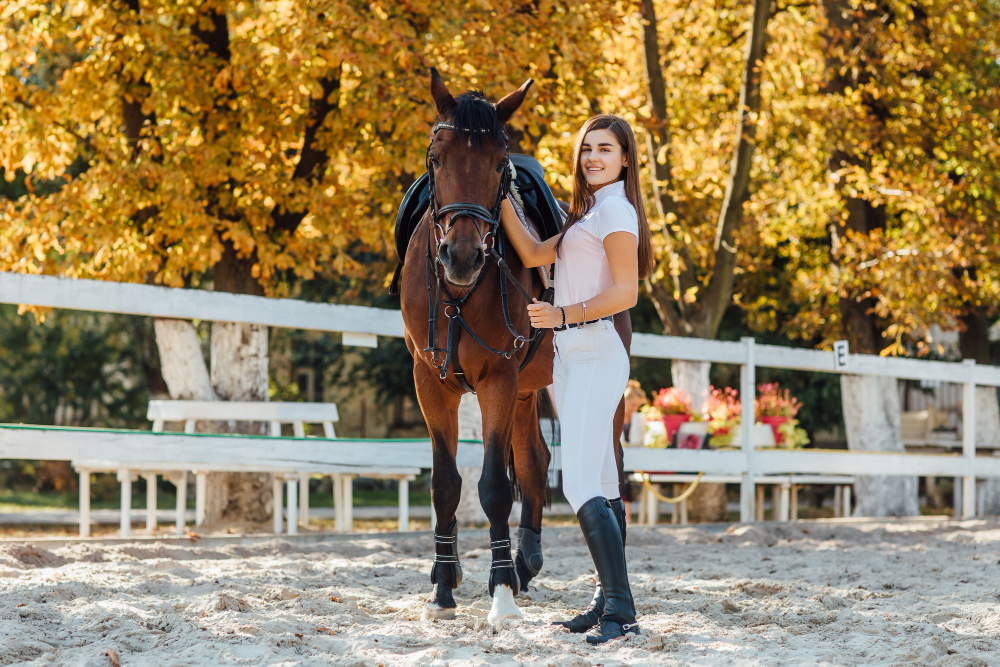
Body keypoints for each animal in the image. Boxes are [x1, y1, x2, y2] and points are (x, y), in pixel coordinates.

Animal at [399, 69, 633, 623]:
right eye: (435, 157)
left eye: (499, 164)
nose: (461, 256)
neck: (457, 296)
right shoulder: (430, 381)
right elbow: (446, 484)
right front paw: (443, 587)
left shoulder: (496, 380)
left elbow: (492, 486)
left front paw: (501, 592)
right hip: (528, 393)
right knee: (535, 461)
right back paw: (523, 564)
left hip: (589, 400)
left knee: (604, 479)